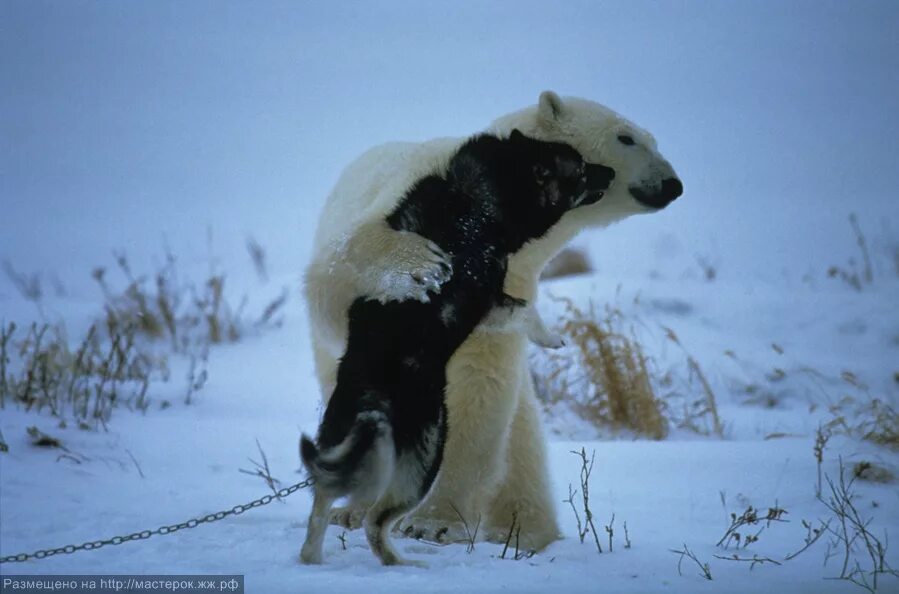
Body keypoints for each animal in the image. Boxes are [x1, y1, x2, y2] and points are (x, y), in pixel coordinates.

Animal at [302, 90, 684, 548]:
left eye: (654, 140)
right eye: (627, 138)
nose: (673, 184)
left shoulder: (513, 281)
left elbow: (478, 388)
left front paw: (435, 522)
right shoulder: (409, 201)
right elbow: (338, 273)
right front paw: (419, 263)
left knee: (521, 445)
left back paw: (525, 532)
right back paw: (353, 507)